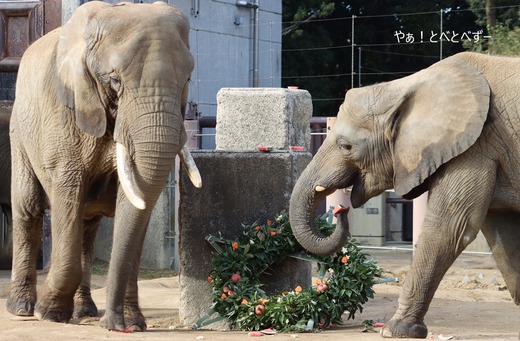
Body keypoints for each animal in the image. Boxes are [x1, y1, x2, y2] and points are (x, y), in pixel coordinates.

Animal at [6, 1, 201, 332]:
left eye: (187, 79)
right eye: (115, 81)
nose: (114, 325)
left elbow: (134, 201)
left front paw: (133, 323)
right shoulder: (63, 113)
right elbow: (67, 190)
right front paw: (49, 313)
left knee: (87, 227)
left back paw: (85, 310)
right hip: (19, 131)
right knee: (28, 208)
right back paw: (21, 308)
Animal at [290, 51, 520, 338]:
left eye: (345, 146)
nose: (340, 210)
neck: (404, 86)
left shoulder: (476, 147)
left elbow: (450, 227)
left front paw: (395, 331)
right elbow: (504, 235)